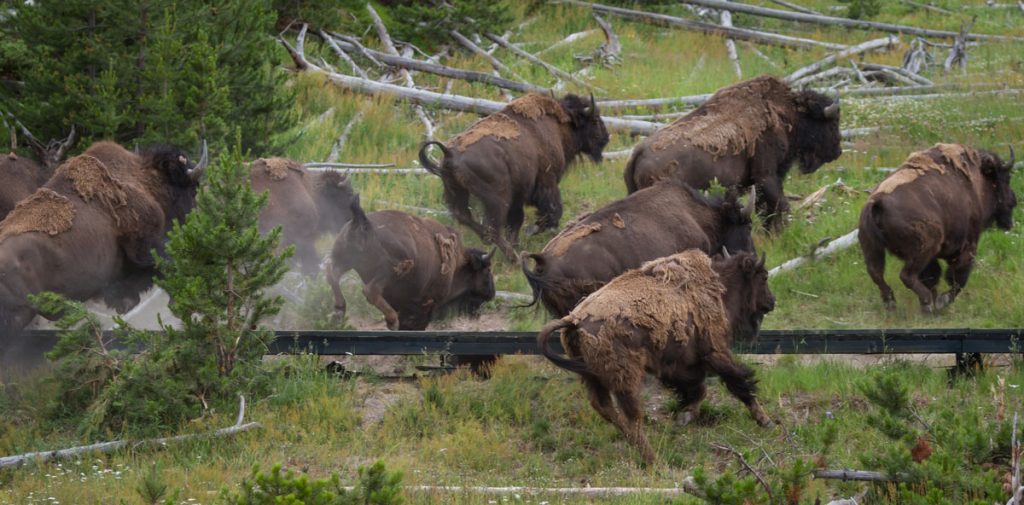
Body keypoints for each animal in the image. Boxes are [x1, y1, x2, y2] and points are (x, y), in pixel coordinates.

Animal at [419, 93, 610, 260]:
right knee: (493, 228)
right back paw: (513, 258)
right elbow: (553, 211)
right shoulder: (547, 182)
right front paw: (533, 230)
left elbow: (517, 220)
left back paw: (494, 244)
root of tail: (449, 152)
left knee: (465, 217)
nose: (606, 137)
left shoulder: (519, 196)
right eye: (594, 120)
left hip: (457, 192)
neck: (560, 124)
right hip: (497, 199)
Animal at [537, 249, 775, 464]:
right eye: (763, 277)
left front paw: (684, 417)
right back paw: (653, 459)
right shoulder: (715, 352)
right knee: (632, 416)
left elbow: (699, 390)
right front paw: (766, 421)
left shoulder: (682, 366)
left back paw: (634, 443)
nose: (772, 302)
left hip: (592, 377)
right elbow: (740, 385)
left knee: (606, 409)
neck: (719, 286)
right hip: (626, 378)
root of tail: (574, 320)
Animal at [623, 75, 841, 229]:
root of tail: (638, 153)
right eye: (832, 124)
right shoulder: (767, 175)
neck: (789, 113)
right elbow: (778, 204)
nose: (837, 151)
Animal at [859, 143, 1017, 313]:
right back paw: (926, 303)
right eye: (1006, 178)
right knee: (906, 275)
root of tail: (877, 202)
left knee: (877, 274)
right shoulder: (967, 247)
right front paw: (942, 301)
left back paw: (892, 305)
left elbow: (934, 276)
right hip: (924, 249)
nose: (1014, 200)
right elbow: (957, 278)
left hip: (872, 248)